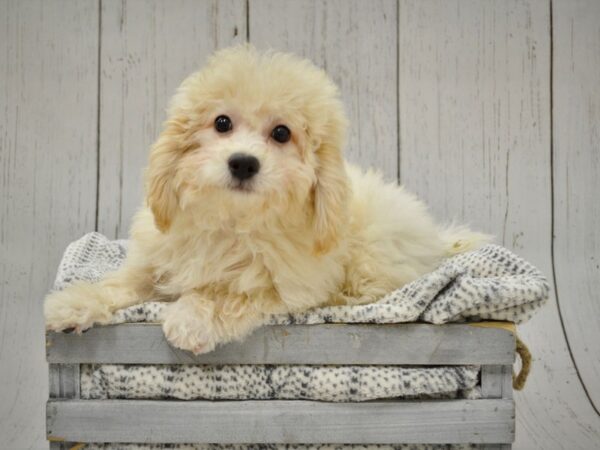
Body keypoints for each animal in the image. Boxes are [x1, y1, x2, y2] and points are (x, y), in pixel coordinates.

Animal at [45, 46, 488, 356]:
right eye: (222, 123)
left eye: (281, 133)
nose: (243, 162)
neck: (232, 222)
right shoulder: (156, 262)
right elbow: (120, 284)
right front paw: (73, 303)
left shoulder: (285, 287)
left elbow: (229, 294)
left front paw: (191, 318)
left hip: (374, 256)